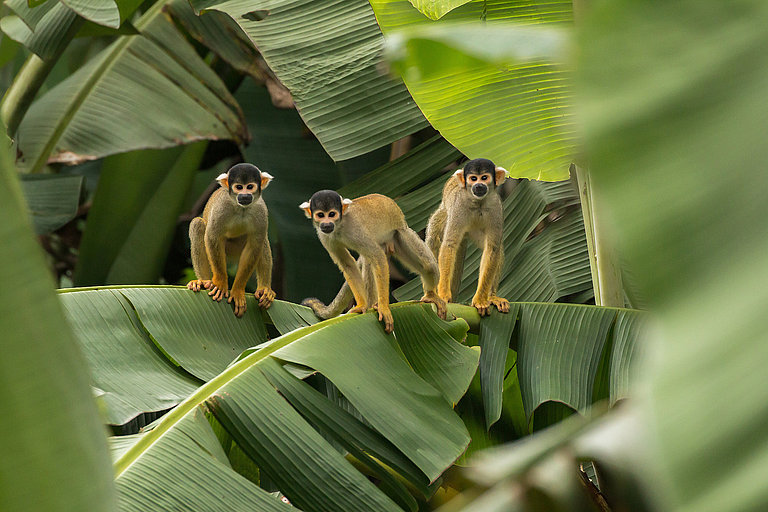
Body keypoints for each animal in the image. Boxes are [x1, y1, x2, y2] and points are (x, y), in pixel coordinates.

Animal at [187, 163, 276, 317]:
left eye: (250, 187)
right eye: (239, 187)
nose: (244, 195)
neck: (241, 208)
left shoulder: (261, 210)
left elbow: (254, 246)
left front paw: (238, 291)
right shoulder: (222, 207)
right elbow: (212, 236)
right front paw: (220, 283)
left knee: (262, 241)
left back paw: (264, 289)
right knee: (198, 224)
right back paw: (203, 282)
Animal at [299, 191, 446, 333]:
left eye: (331, 214)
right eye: (320, 215)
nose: (326, 223)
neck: (339, 226)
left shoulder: (356, 229)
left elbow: (377, 256)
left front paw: (383, 307)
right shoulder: (324, 235)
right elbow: (347, 264)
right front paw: (361, 306)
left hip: (399, 234)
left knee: (428, 266)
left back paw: (431, 295)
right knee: (369, 262)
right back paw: (370, 304)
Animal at [425, 158, 510, 316]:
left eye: (484, 177)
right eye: (473, 178)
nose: (478, 185)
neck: (478, 203)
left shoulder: (496, 208)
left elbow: (492, 248)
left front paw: (480, 300)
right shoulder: (459, 206)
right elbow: (449, 244)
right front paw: (444, 295)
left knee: (498, 249)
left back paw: (492, 296)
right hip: (446, 212)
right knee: (434, 238)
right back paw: (432, 294)